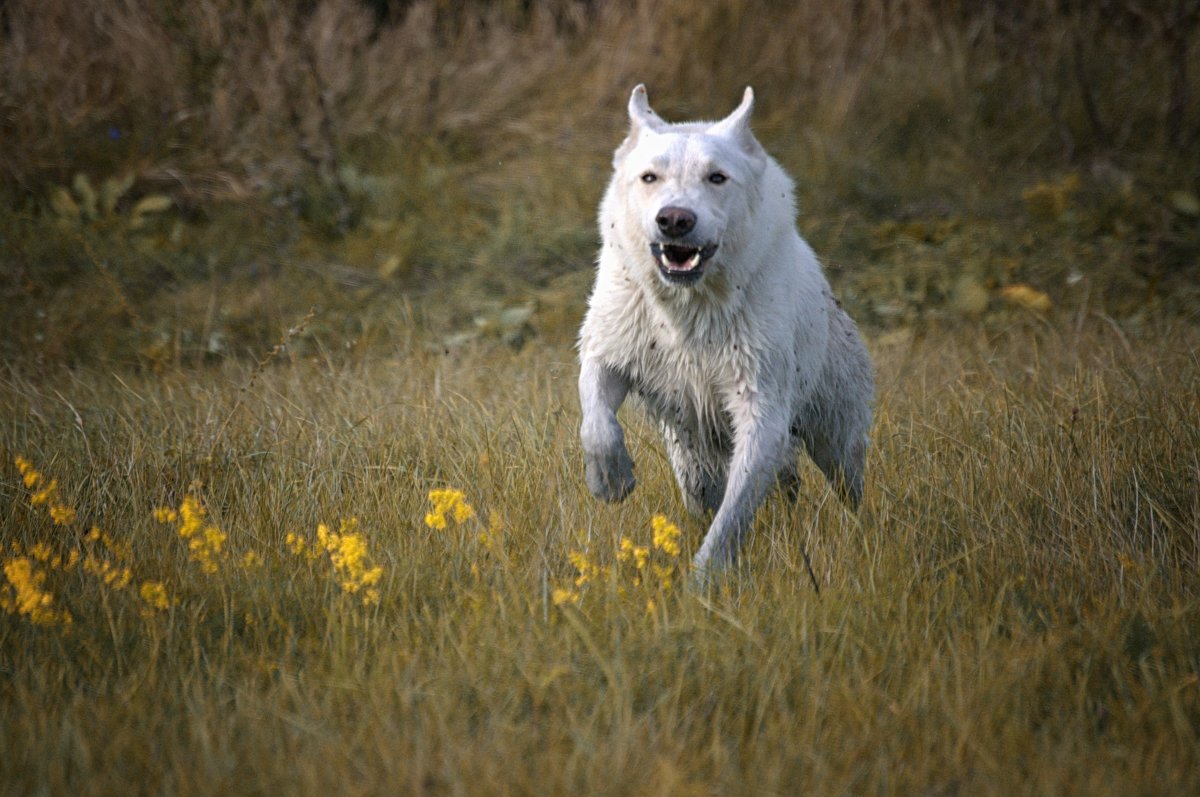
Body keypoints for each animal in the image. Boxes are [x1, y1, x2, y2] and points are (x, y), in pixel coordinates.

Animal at [578, 84, 873, 576]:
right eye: (649, 178)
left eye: (717, 178)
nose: (674, 219)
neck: (688, 306)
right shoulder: (613, 349)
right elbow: (596, 421)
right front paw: (610, 479)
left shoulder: (762, 409)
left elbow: (731, 519)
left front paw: (702, 582)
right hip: (691, 456)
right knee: (708, 493)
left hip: (836, 436)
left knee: (846, 487)